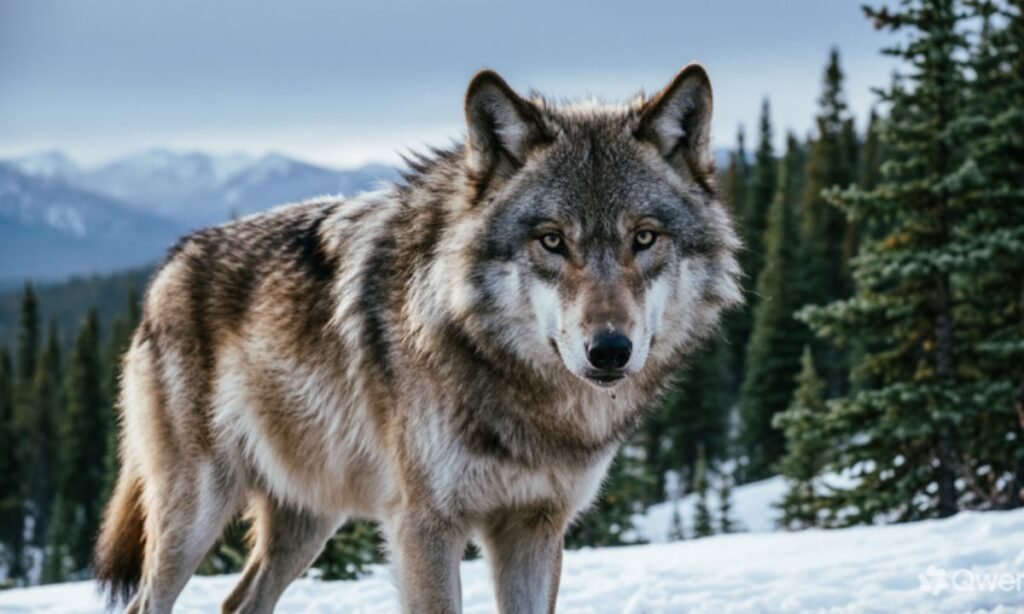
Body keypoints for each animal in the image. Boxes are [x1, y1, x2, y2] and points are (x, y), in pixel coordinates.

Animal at [94, 63, 741, 613]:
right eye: (553, 240)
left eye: (645, 237)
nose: (609, 350)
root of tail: (166, 268)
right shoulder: (424, 526)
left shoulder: (535, 526)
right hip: (196, 513)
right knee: (147, 602)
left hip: (309, 520)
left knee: (238, 601)